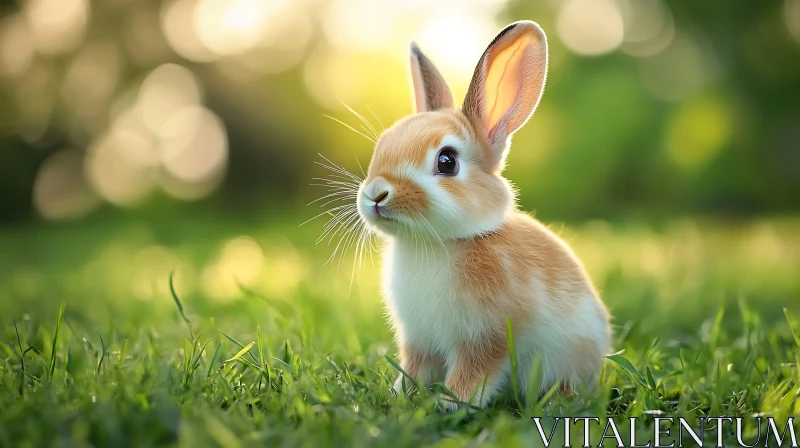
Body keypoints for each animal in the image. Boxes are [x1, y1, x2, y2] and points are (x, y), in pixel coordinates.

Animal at [354, 21, 608, 412]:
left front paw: (450, 403)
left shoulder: (486, 339)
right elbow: (414, 368)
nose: (376, 194)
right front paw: (401, 395)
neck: (439, 243)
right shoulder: (418, 341)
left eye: (447, 161)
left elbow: (473, 373)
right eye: (382, 145)